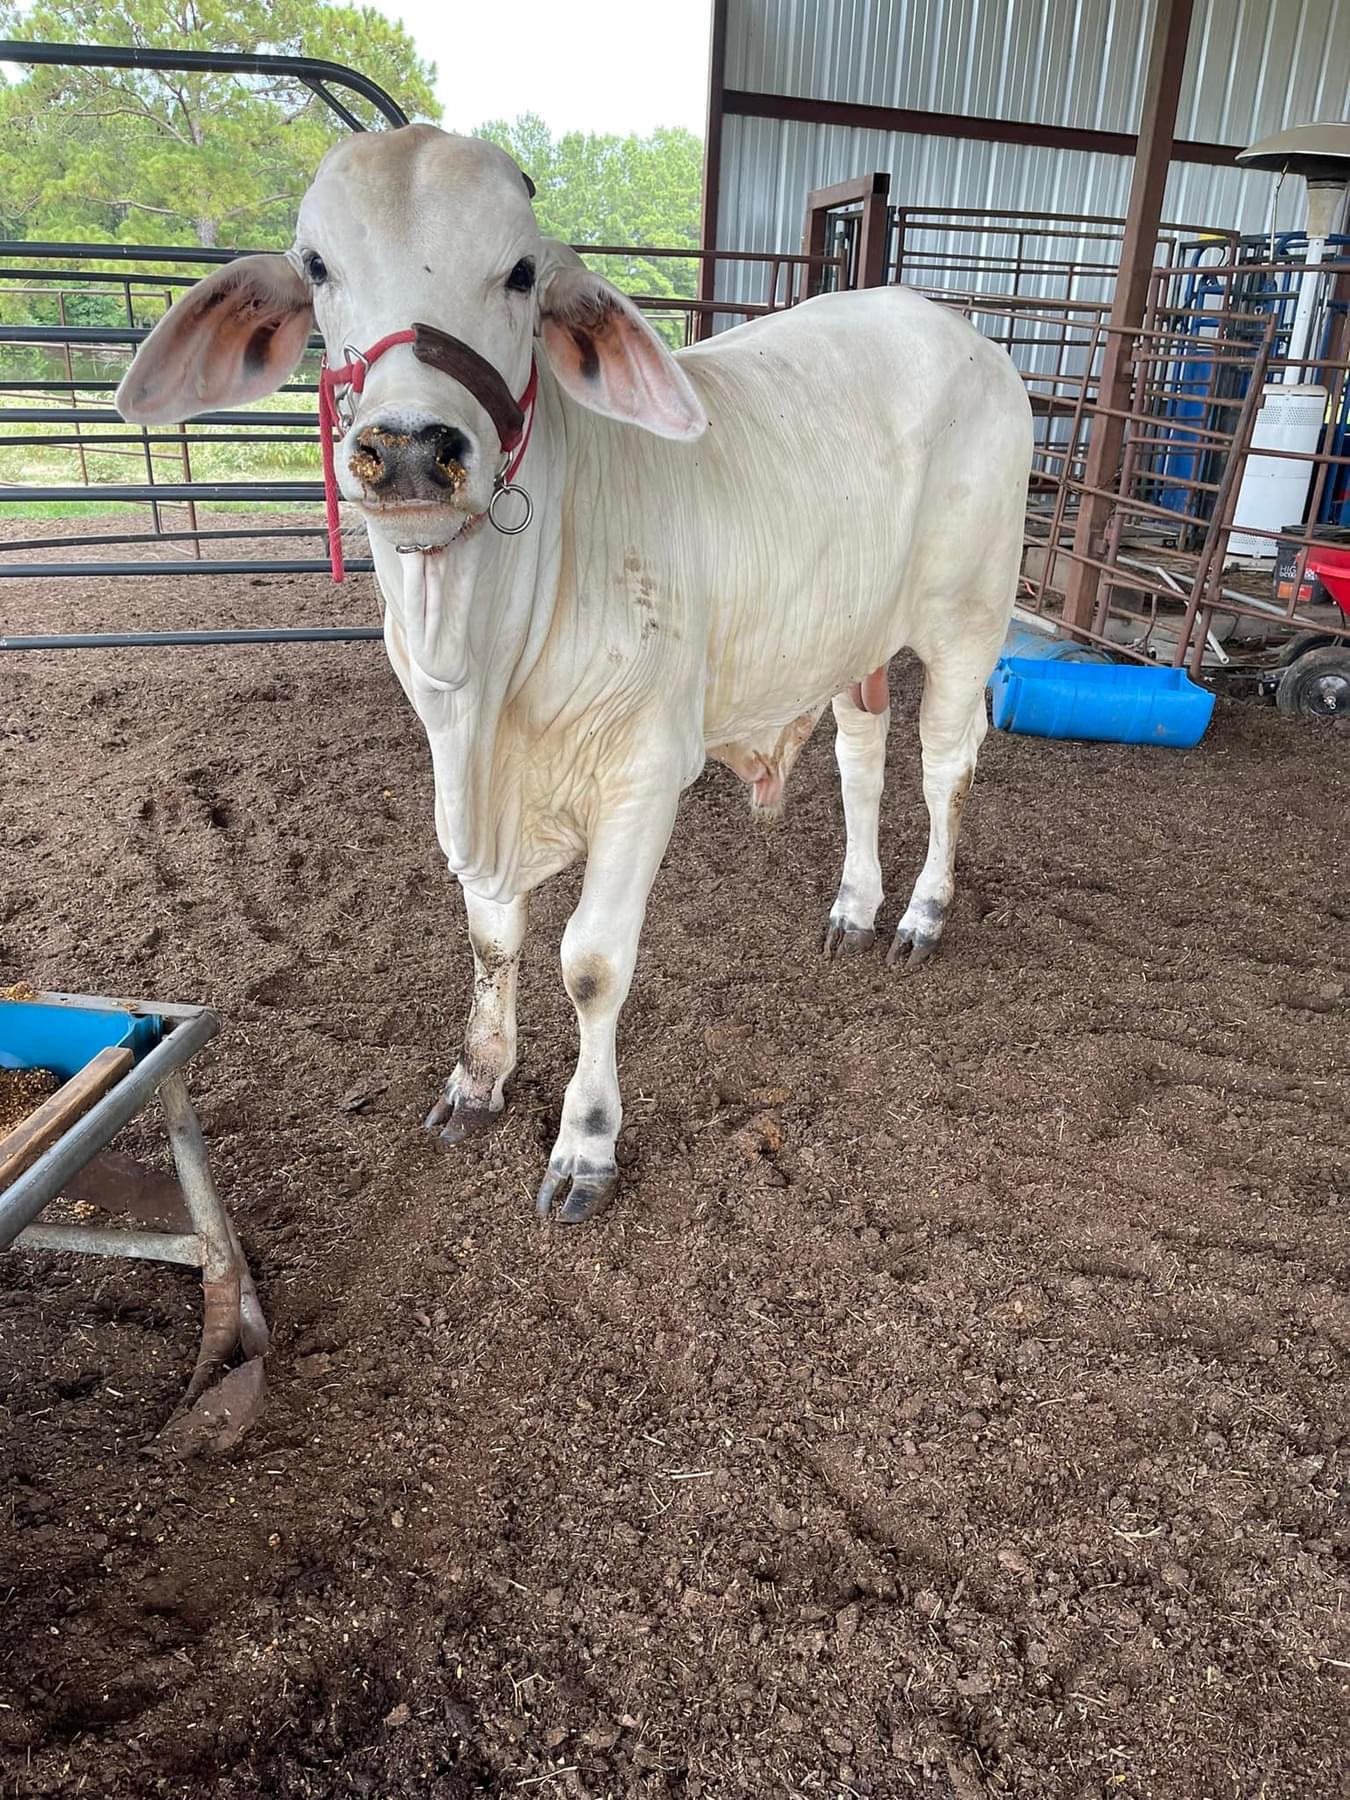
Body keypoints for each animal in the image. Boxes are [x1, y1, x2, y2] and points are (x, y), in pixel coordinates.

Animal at [124, 126, 1036, 1224]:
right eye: (317, 265)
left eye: (522, 271)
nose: (412, 446)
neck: (481, 665)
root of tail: (958, 331)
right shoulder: (459, 783)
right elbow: (490, 937)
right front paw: (478, 1080)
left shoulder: (644, 774)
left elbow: (592, 965)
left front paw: (585, 1143)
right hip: (851, 638)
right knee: (864, 752)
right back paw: (854, 907)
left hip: (967, 618)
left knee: (947, 764)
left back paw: (920, 915)